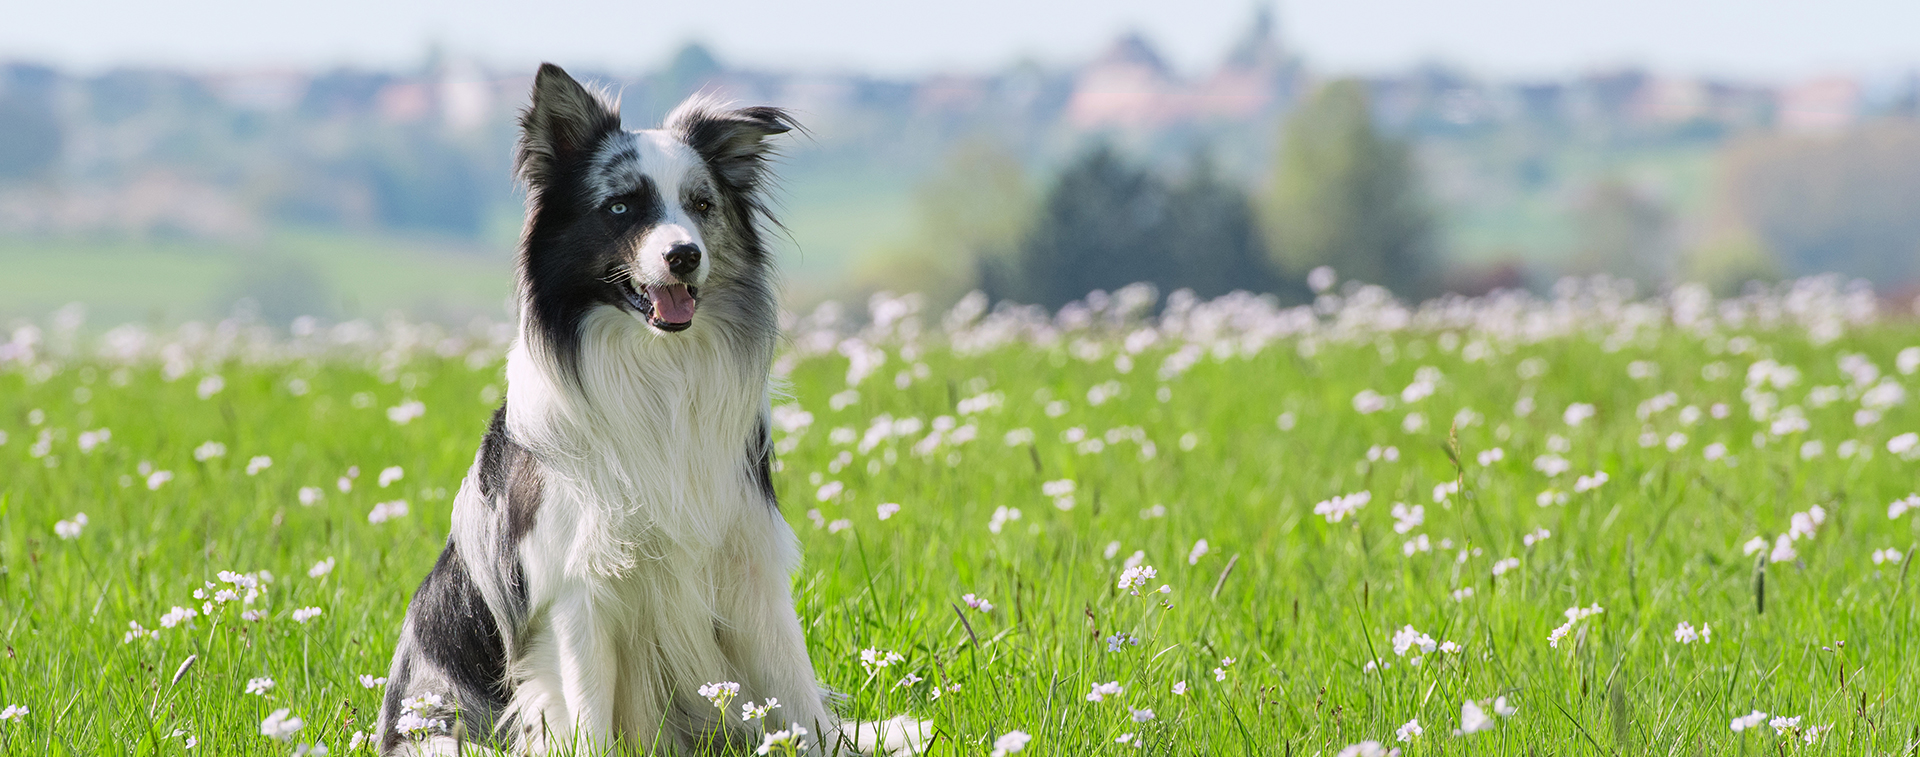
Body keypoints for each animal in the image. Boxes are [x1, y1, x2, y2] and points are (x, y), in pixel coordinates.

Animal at [376, 61, 929, 753]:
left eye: (701, 205)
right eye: (620, 207)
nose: (684, 255)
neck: (658, 370)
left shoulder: (749, 562)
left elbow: (798, 695)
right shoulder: (576, 590)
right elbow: (587, 718)